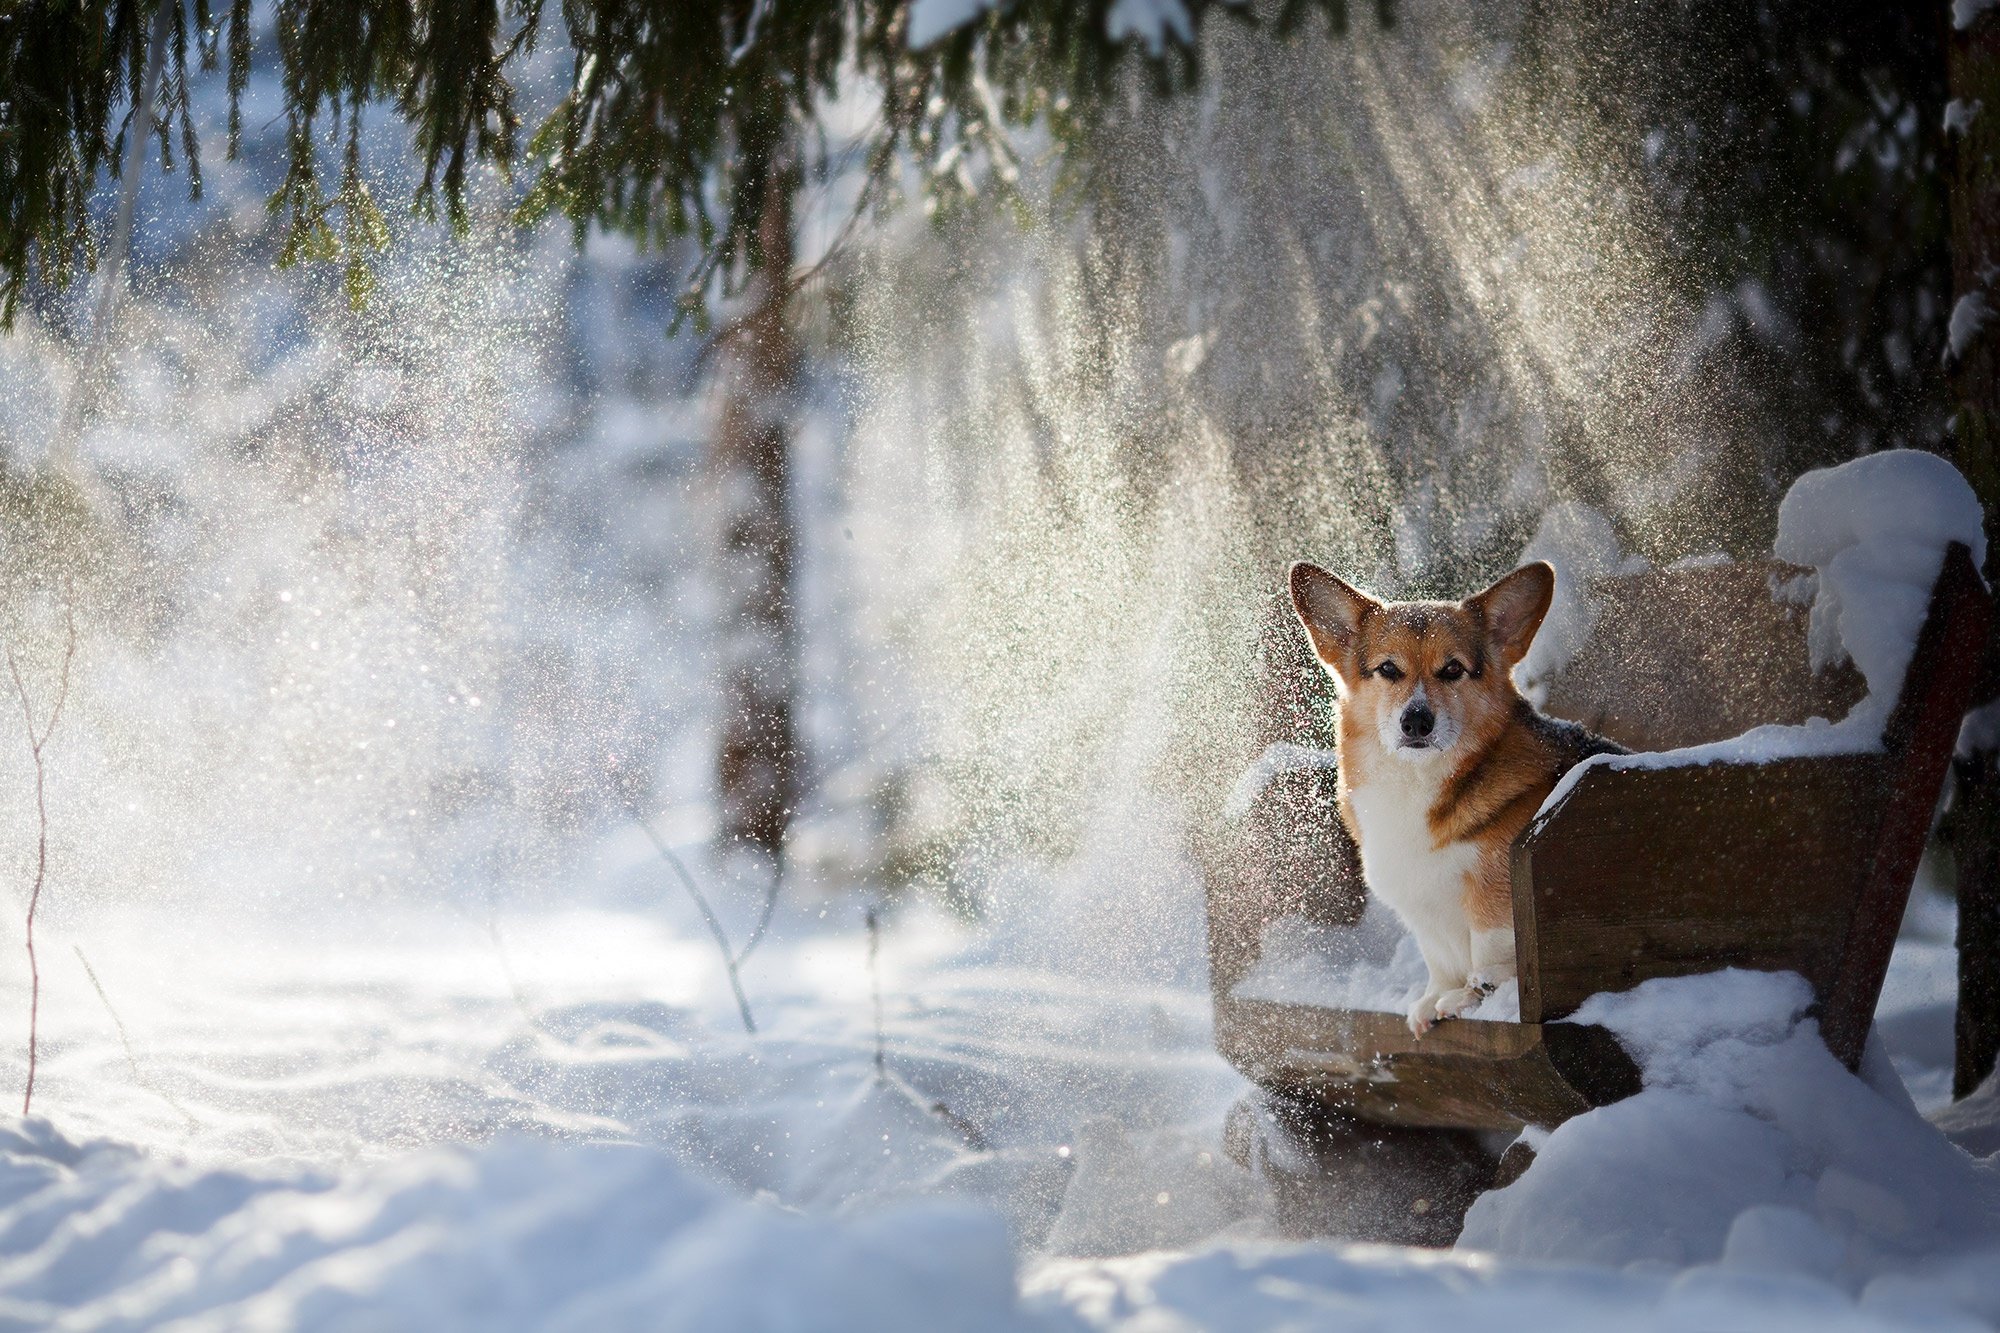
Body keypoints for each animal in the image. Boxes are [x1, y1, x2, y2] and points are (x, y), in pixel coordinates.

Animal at [1280, 556, 1624, 1032]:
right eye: (1389, 669)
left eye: (1453, 669)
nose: (1416, 722)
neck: (1415, 779)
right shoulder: (1423, 913)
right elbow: (1438, 958)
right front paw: (1434, 999)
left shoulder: (1495, 888)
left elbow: (1489, 944)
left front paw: (1471, 994)